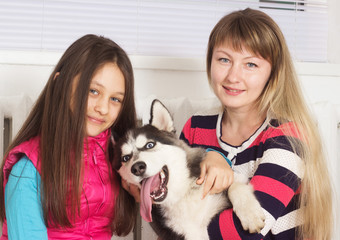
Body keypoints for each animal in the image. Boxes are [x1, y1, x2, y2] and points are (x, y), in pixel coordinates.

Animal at [114, 100, 266, 240]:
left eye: (149, 145)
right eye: (126, 158)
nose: (137, 168)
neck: (182, 194)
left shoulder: (230, 178)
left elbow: (235, 186)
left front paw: (250, 215)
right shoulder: (187, 233)